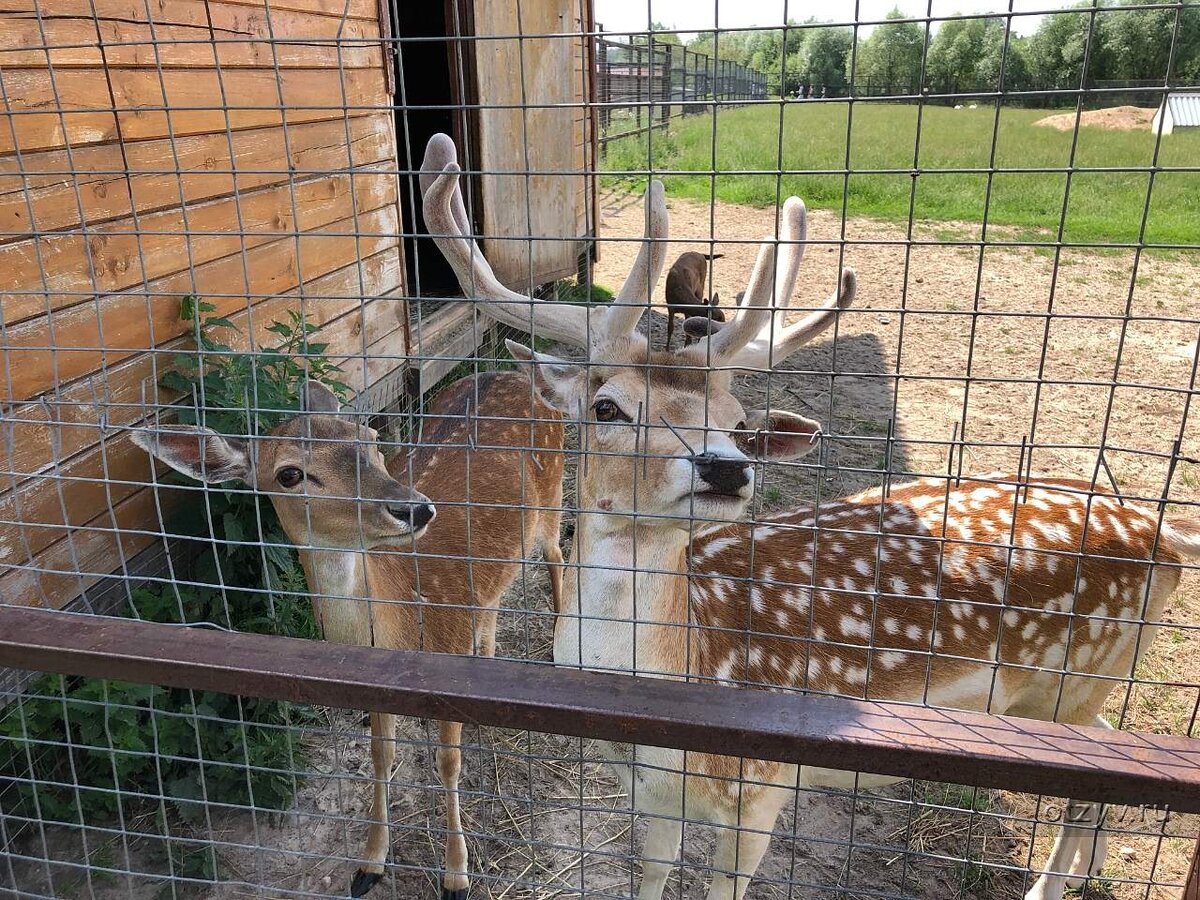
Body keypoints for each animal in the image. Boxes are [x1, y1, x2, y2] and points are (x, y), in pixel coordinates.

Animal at [133, 374, 564, 900]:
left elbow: (447, 763)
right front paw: (367, 867)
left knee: (557, 554)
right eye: (289, 474)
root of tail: (518, 373)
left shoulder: (446, 650)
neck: (399, 630)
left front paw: (456, 877)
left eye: (372, 440)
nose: (414, 508)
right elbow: (382, 757)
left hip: (555, 491)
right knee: (494, 599)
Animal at [422, 132, 1200, 900]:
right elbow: (655, 872)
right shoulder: (649, 793)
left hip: (1085, 672)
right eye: (606, 407)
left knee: (1089, 787)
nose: (726, 468)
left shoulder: (761, 790)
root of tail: (1164, 533)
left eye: (737, 422)